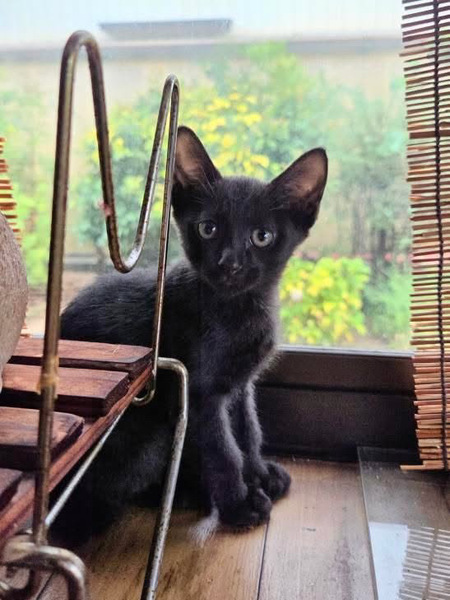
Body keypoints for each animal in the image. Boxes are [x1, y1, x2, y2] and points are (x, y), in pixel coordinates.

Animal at [53, 126, 327, 544]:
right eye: (208, 228)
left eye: (262, 236)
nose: (230, 263)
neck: (236, 309)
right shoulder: (199, 395)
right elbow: (223, 450)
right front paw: (240, 504)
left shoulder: (240, 384)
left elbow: (248, 430)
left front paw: (259, 474)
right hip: (148, 436)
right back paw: (181, 493)